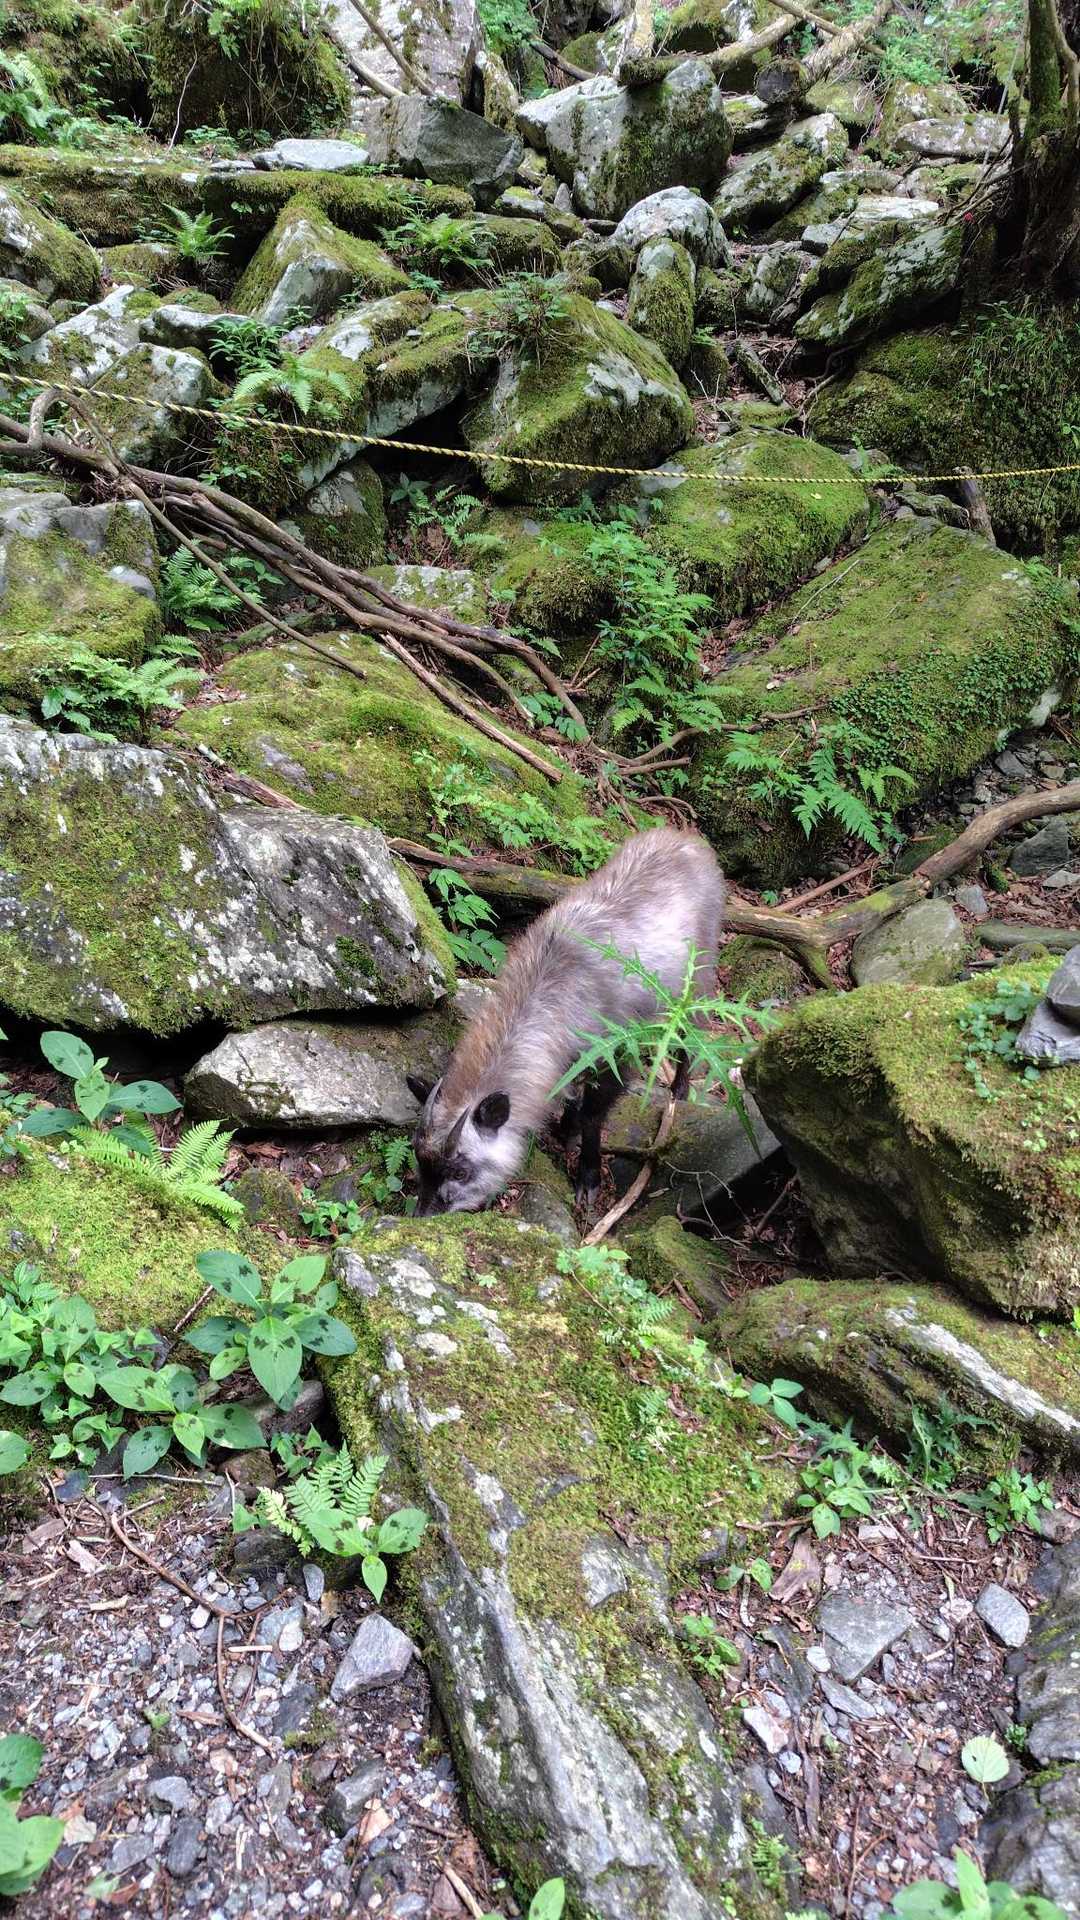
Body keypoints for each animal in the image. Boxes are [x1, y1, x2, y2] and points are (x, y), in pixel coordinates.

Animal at [406, 827, 726, 1217]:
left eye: (460, 1171)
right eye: (421, 1162)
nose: (422, 1217)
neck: (555, 993)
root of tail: (688, 839)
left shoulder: (618, 1056)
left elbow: (592, 1115)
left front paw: (588, 1175)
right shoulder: (569, 1059)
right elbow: (571, 1095)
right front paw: (565, 1129)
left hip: (698, 979)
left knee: (691, 1032)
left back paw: (679, 1089)